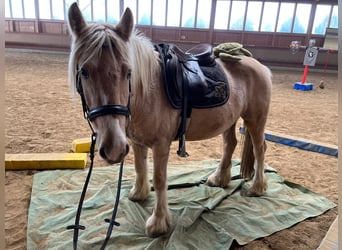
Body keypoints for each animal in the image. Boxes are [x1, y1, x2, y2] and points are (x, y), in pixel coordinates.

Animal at [68, 1, 272, 237]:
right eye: (84, 72)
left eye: (128, 72)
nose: (113, 149)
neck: (148, 92)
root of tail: (259, 65)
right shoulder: (136, 141)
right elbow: (140, 167)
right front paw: (139, 193)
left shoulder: (161, 144)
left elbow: (159, 179)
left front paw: (158, 222)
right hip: (229, 120)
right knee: (230, 144)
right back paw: (219, 179)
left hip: (255, 119)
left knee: (260, 148)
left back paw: (257, 187)